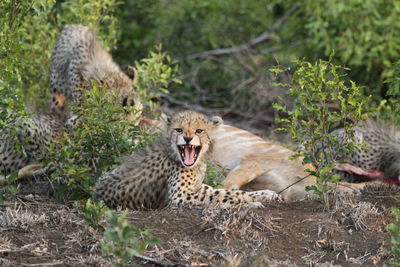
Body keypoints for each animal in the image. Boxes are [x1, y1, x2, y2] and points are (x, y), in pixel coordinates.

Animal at [92, 111, 278, 209]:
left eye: (199, 130)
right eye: (179, 130)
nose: (187, 139)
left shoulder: (198, 187)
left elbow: (223, 191)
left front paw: (266, 194)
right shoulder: (180, 197)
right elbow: (223, 195)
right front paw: (251, 203)